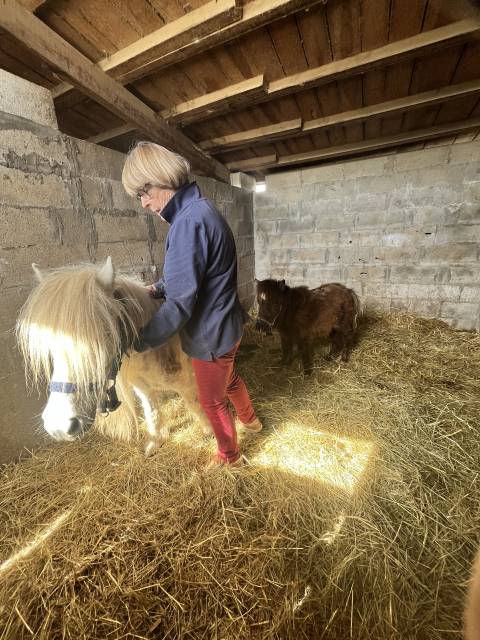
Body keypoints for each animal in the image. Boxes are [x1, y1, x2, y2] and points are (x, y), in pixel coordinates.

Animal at [16, 257, 211, 456]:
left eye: (106, 334)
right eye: (50, 340)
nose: (59, 426)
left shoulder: (187, 386)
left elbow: (196, 407)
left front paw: (208, 433)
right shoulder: (143, 388)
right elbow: (152, 411)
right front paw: (155, 442)